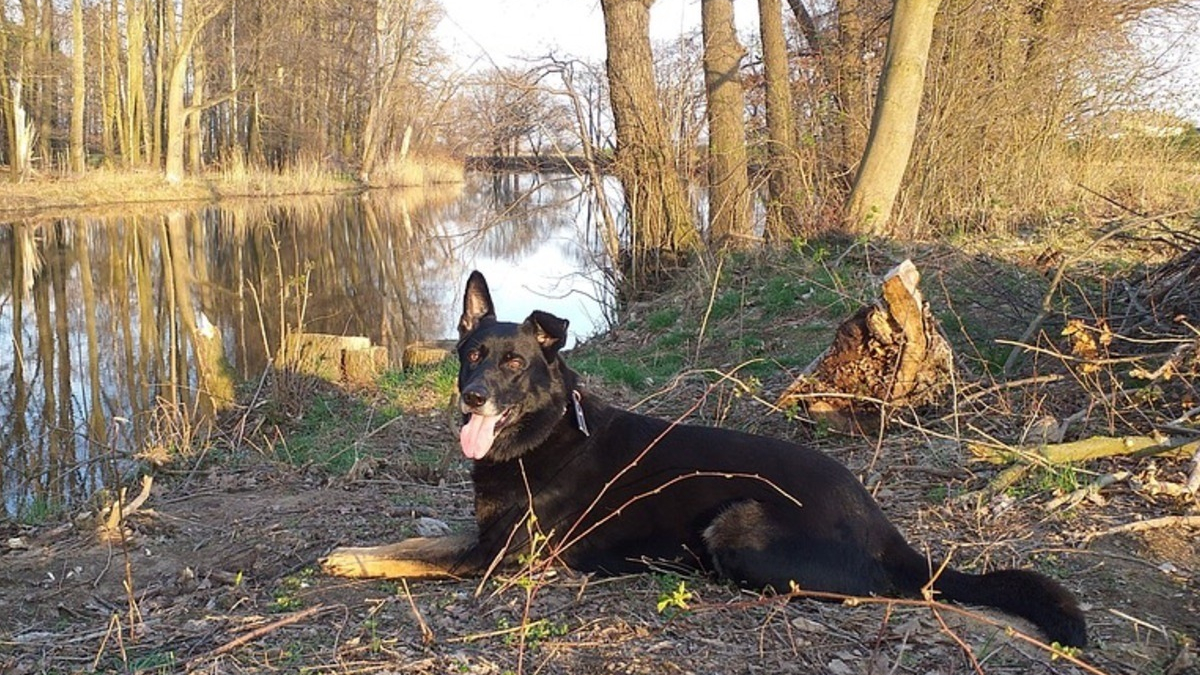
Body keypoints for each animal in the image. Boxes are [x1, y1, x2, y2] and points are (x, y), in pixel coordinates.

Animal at [321, 269, 1089, 648]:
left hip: (738, 526)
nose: (473, 396)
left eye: (513, 362)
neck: (543, 432)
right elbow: (421, 539)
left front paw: (356, 559)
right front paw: (356, 548)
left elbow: (420, 557)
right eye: (471, 354)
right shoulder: (488, 535)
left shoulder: (501, 557)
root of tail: (886, 531)